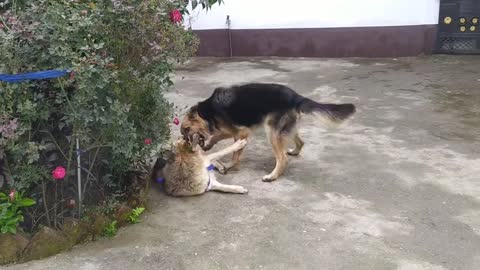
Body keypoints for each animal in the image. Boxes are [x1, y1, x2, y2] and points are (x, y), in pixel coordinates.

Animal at [180, 83, 356, 182]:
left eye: (186, 130)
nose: (186, 143)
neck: (206, 112)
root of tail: (296, 97)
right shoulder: (232, 130)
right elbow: (218, 136)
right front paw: (209, 146)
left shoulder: (241, 132)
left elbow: (235, 153)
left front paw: (228, 165)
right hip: (284, 129)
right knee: (300, 142)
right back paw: (294, 151)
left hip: (272, 133)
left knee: (282, 158)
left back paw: (272, 176)